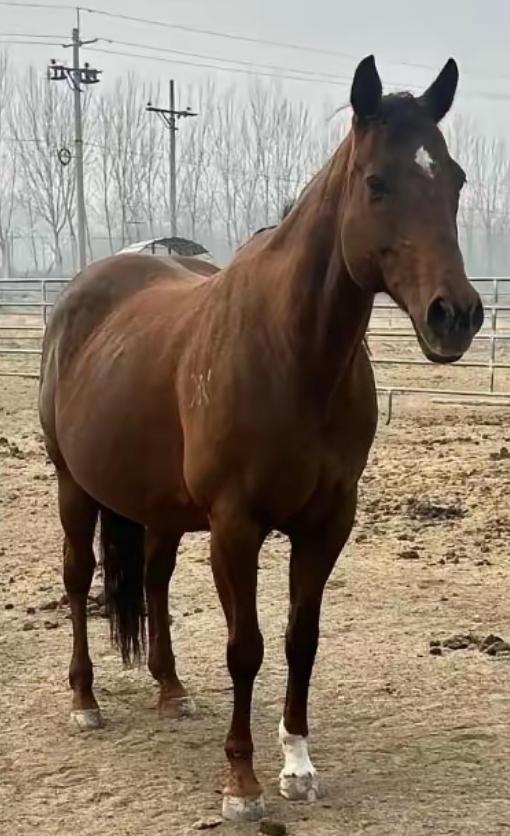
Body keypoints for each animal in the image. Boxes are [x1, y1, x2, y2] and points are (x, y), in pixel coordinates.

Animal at [39, 55, 483, 823]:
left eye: (453, 179)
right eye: (377, 182)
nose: (454, 316)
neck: (291, 352)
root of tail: (83, 292)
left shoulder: (329, 521)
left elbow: (301, 639)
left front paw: (298, 766)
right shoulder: (235, 525)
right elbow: (244, 647)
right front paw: (241, 784)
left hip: (159, 508)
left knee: (153, 581)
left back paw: (171, 692)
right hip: (75, 487)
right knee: (76, 580)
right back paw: (85, 700)